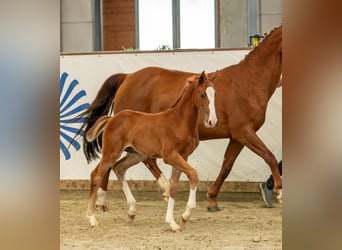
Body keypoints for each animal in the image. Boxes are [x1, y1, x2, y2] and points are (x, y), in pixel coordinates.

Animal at [79, 25, 282, 212]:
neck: (248, 82)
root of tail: (128, 77)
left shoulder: (237, 137)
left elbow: (226, 167)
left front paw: (212, 200)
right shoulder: (244, 132)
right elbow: (270, 157)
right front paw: (279, 192)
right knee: (126, 161)